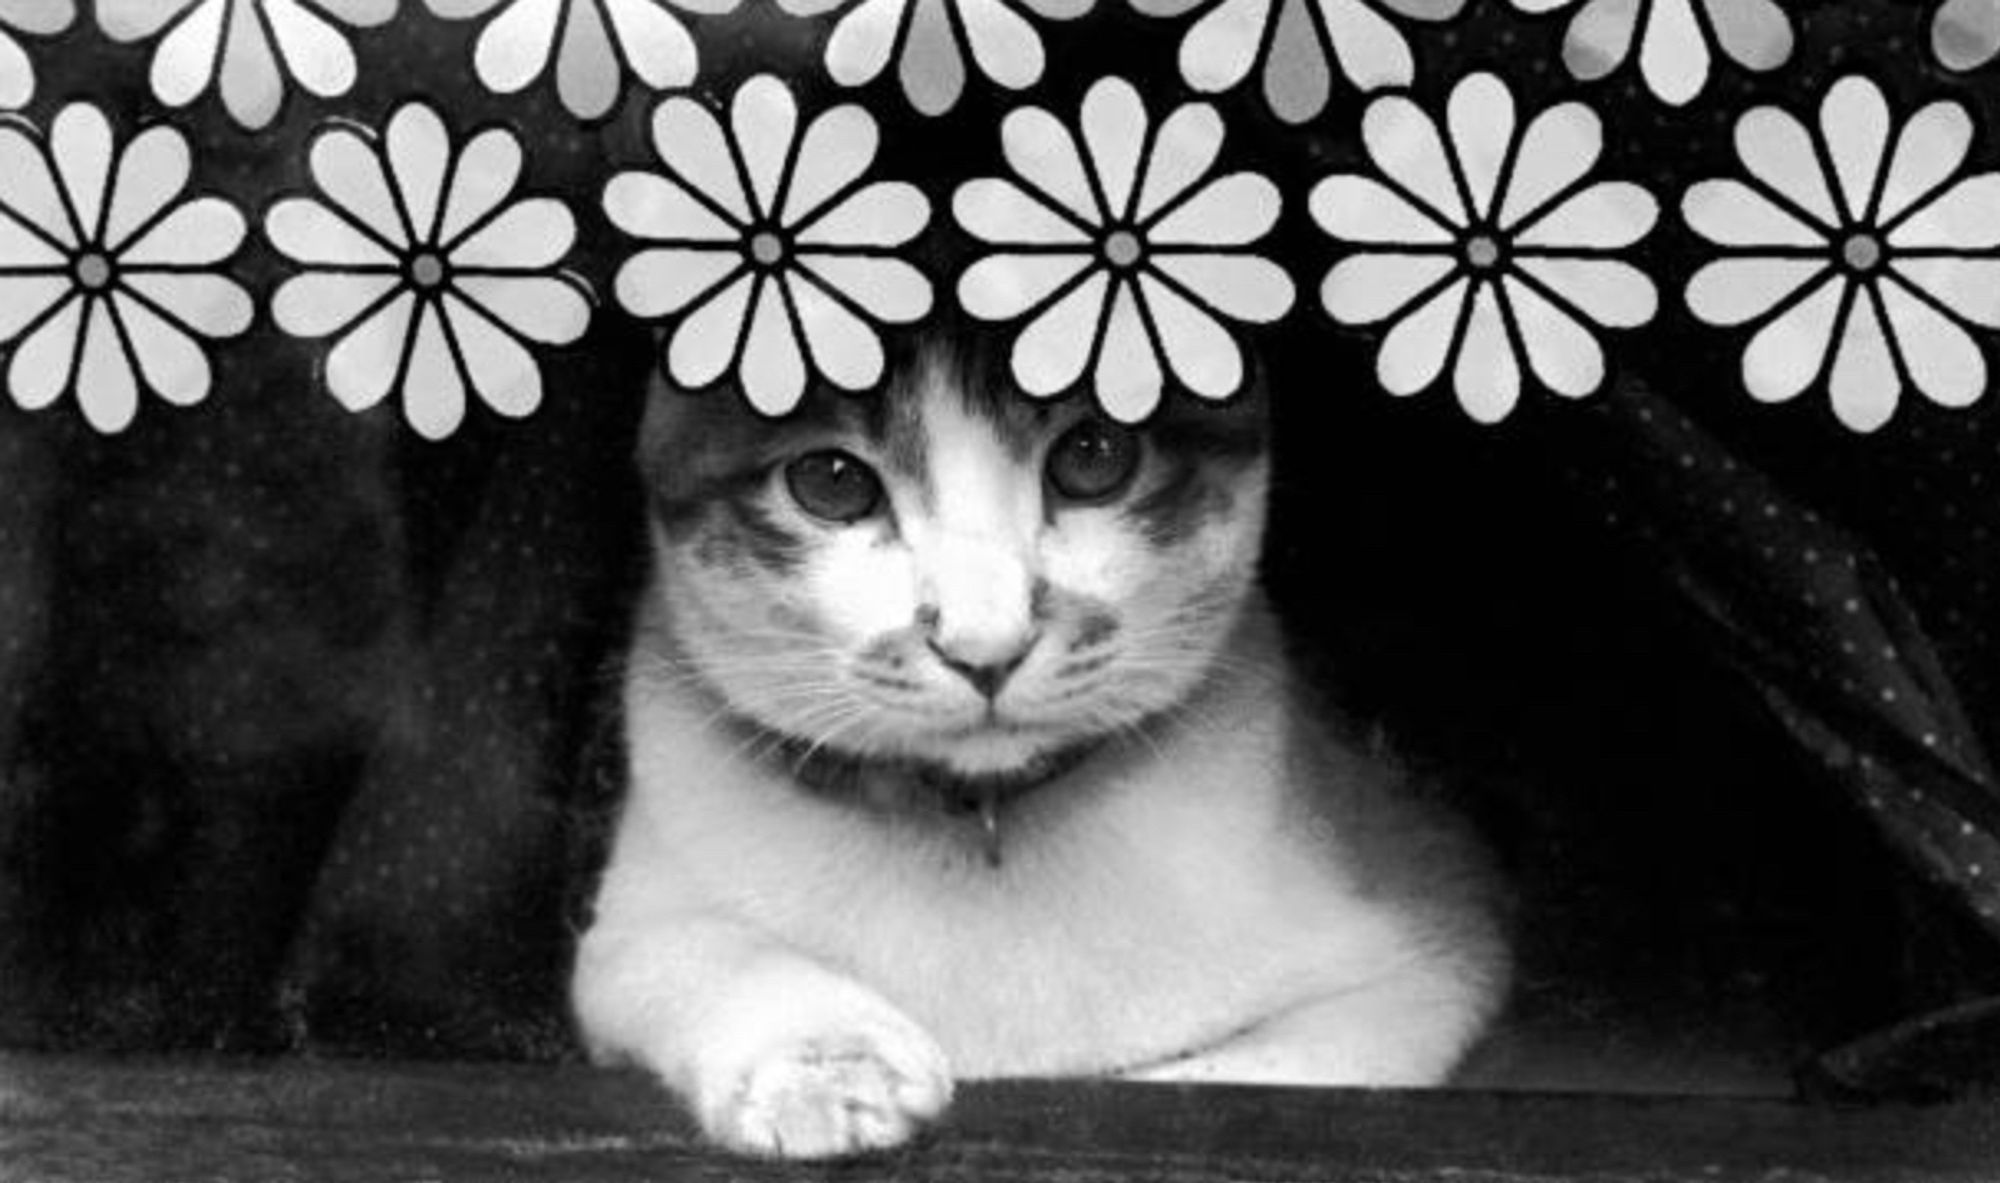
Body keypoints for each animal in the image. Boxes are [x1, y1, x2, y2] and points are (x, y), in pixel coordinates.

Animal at [572, 337, 1504, 1159]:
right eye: (831, 481)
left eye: (1094, 455)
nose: (986, 648)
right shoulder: (637, 907)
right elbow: (679, 950)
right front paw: (825, 1063)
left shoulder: (1432, 941)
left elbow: (1296, 1071)